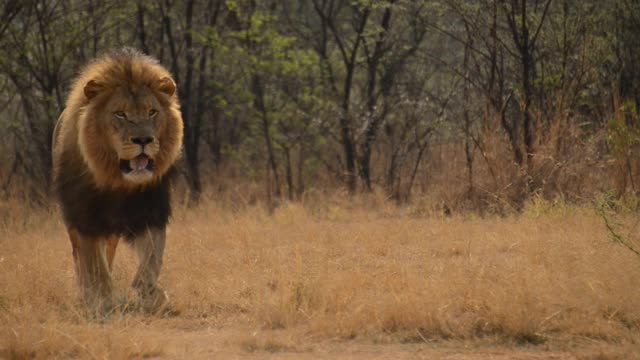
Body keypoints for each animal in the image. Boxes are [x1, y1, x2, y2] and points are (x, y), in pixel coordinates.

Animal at [52, 47, 182, 312]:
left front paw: (151, 293)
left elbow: (152, 258)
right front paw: (101, 298)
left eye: (152, 112)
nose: (143, 140)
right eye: (120, 114)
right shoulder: (85, 219)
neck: (120, 184)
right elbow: (93, 264)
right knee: (82, 259)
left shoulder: (151, 213)